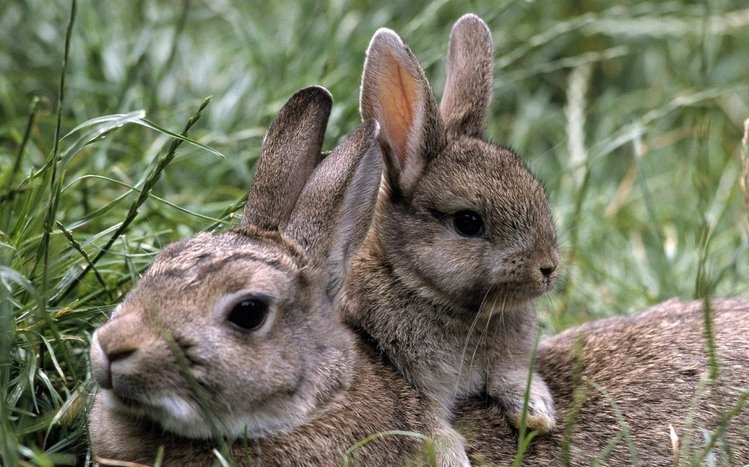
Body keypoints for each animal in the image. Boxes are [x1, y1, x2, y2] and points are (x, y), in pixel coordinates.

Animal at [338, 13, 559, 465]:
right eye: (468, 222)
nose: (547, 268)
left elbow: (512, 376)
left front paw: (537, 413)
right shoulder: (409, 381)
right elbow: (427, 423)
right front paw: (452, 457)